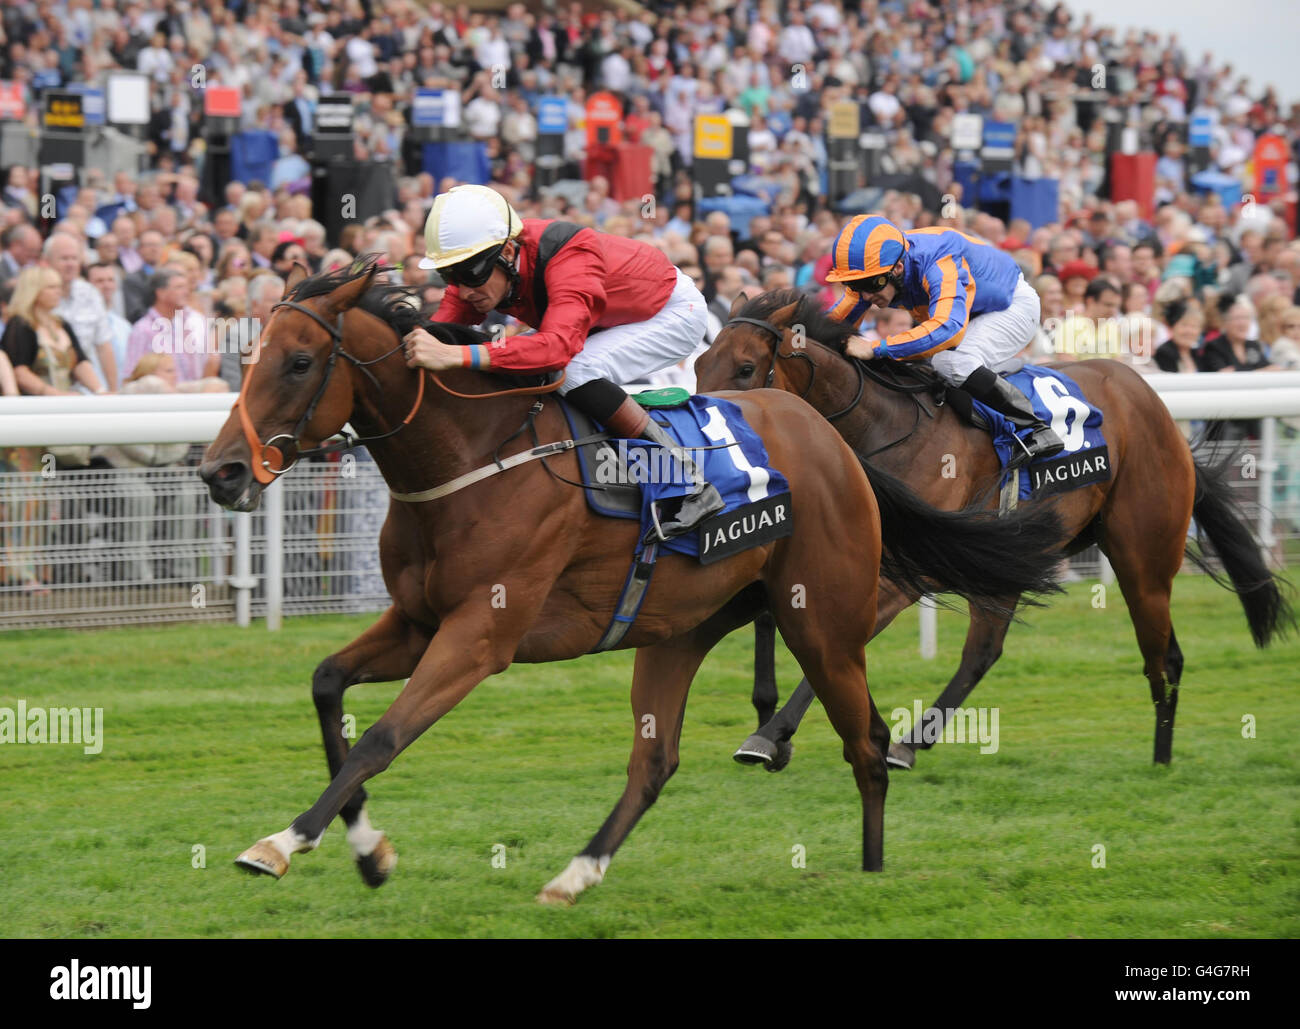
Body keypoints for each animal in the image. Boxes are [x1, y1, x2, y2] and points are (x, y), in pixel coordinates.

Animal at [195, 263, 1066, 899]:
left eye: (299, 362)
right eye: (248, 359)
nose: (221, 472)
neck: (472, 456)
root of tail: (833, 442)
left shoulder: (481, 634)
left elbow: (380, 736)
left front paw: (283, 839)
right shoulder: (417, 622)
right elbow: (327, 683)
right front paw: (368, 850)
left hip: (822, 618)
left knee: (870, 740)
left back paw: (870, 872)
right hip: (681, 627)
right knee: (655, 763)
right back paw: (575, 874)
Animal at [696, 289, 1284, 769]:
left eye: (746, 368)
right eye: (699, 363)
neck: (883, 427)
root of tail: (1155, 407)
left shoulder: (902, 574)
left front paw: (770, 735)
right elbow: (776, 615)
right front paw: (770, 721)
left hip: (1143, 554)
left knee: (1162, 651)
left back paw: (1161, 756)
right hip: (1015, 556)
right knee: (984, 652)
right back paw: (912, 743)